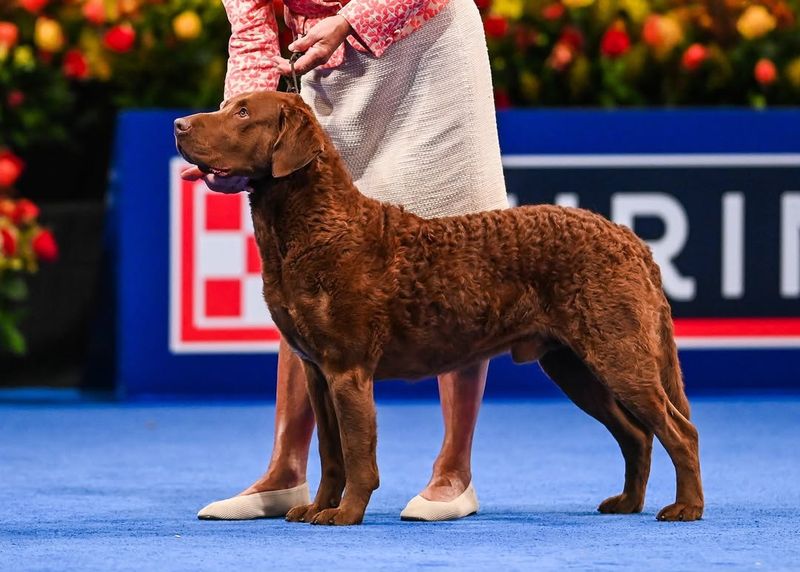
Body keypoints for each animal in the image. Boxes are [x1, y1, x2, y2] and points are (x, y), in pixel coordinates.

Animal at [173, 90, 700, 528]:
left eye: (243, 113)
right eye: (226, 105)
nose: (178, 123)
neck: (320, 227)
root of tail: (630, 239)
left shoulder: (349, 371)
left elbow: (358, 455)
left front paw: (345, 515)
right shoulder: (317, 370)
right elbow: (329, 453)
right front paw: (317, 508)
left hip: (617, 353)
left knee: (679, 429)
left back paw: (685, 508)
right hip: (572, 365)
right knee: (637, 435)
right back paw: (627, 503)